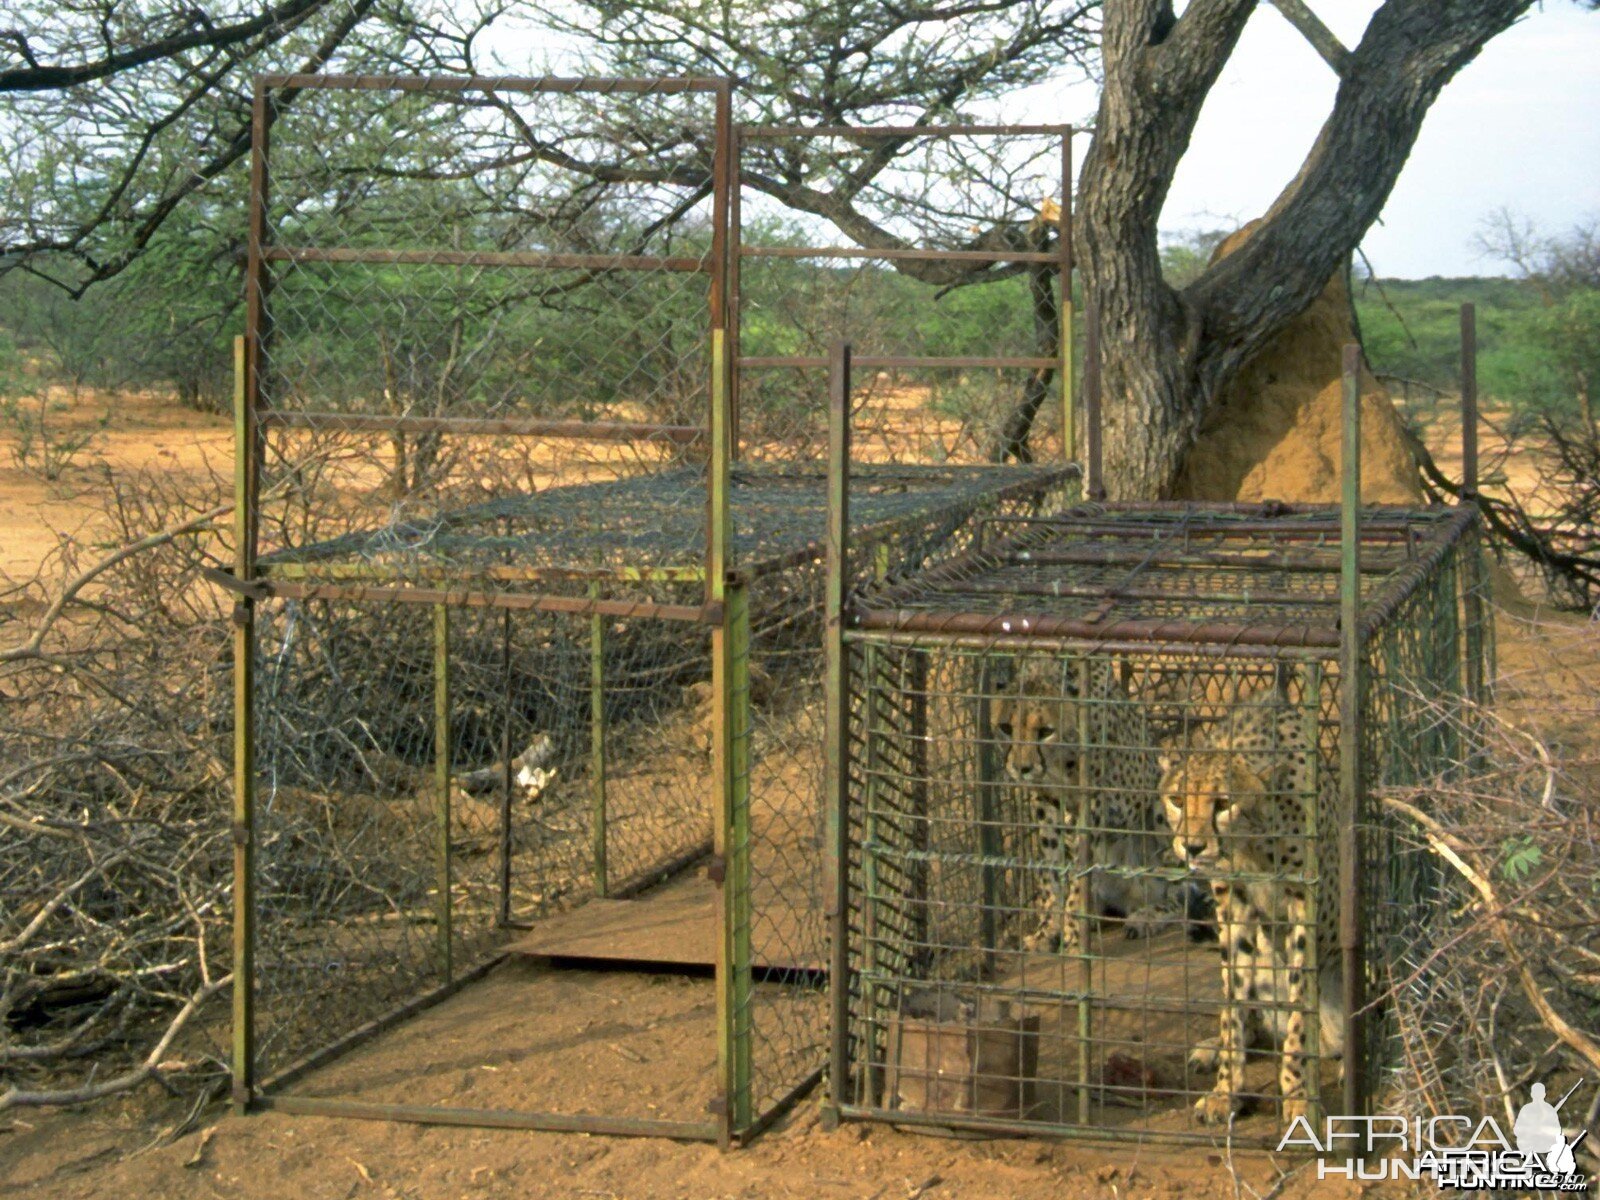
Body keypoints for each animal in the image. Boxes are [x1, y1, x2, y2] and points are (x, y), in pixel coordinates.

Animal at [992, 659, 1196, 960]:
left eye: (1045, 731)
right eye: (1006, 728)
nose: (1021, 768)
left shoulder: (1096, 801)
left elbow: (1079, 871)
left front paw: (1072, 935)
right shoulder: (1046, 800)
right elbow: (1051, 870)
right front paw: (1047, 930)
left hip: (1162, 803)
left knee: (1181, 893)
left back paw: (1148, 916)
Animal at [1158, 694, 1344, 1126]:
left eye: (1224, 803)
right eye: (1177, 800)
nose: (1192, 847)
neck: (1252, 841)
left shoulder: (1303, 905)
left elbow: (1298, 1007)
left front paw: (1298, 1096)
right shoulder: (1233, 902)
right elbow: (1234, 1002)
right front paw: (1226, 1090)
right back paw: (1212, 1048)